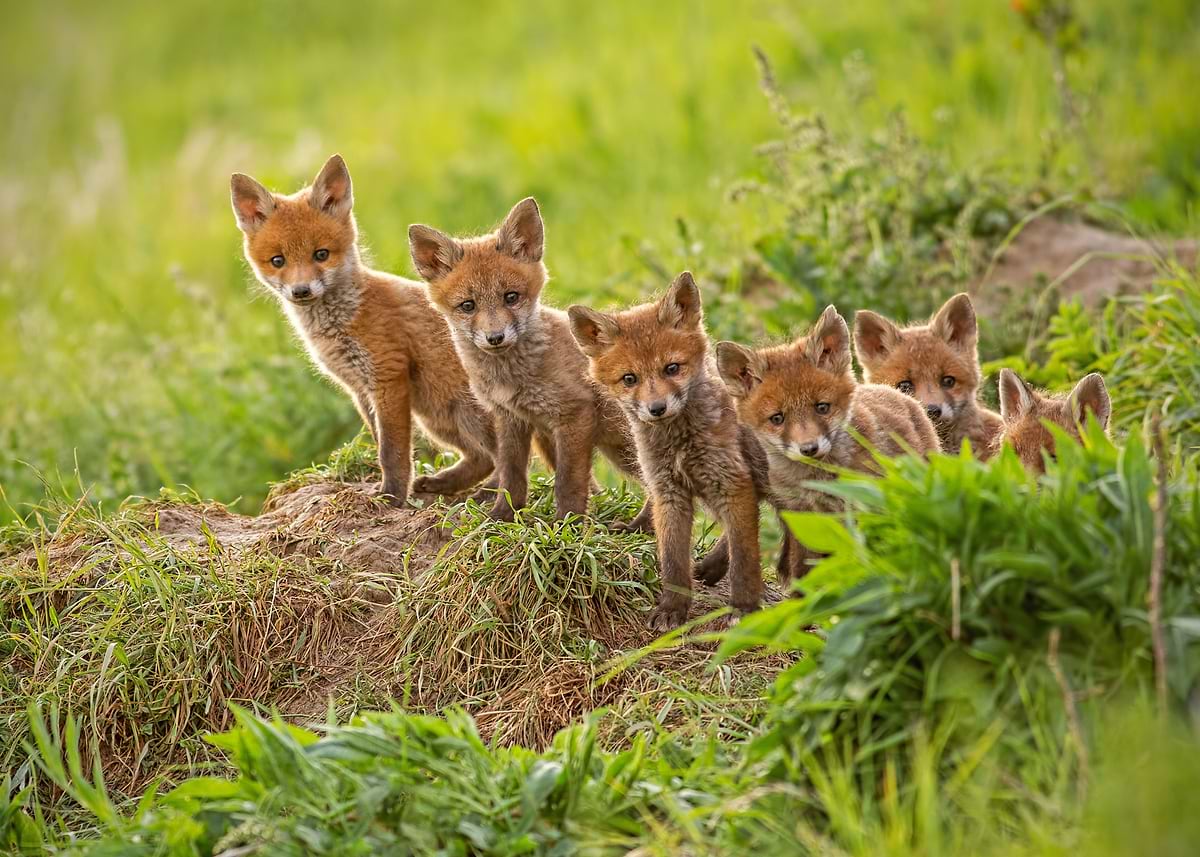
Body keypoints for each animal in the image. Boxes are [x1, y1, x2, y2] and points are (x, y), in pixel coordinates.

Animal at [230, 154, 497, 506]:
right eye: (278, 261)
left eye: (321, 254)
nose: (301, 291)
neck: (341, 325)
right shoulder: (360, 389)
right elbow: (380, 441)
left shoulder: (388, 376)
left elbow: (392, 451)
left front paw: (391, 498)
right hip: (440, 416)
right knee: (484, 459)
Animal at [408, 198, 651, 530]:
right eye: (468, 306)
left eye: (511, 297)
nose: (495, 337)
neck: (512, 379)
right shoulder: (510, 418)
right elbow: (511, 477)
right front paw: (501, 517)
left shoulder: (574, 415)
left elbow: (568, 482)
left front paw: (567, 524)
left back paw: (641, 527)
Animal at [569, 272, 768, 629]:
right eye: (629, 378)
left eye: (672, 368)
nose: (657, 409)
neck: (679, 444)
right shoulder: (668, 492)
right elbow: (672, 560)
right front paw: (673, 608)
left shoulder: (733, 483)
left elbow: (745, 558)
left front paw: (745, 608)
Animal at [717, 305, 940, 582]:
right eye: (777, 418)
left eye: (822, 407)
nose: (809, 449)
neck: (817, 483)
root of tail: (891, 390)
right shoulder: (801, 514)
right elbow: (803, 569)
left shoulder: (860, 507)